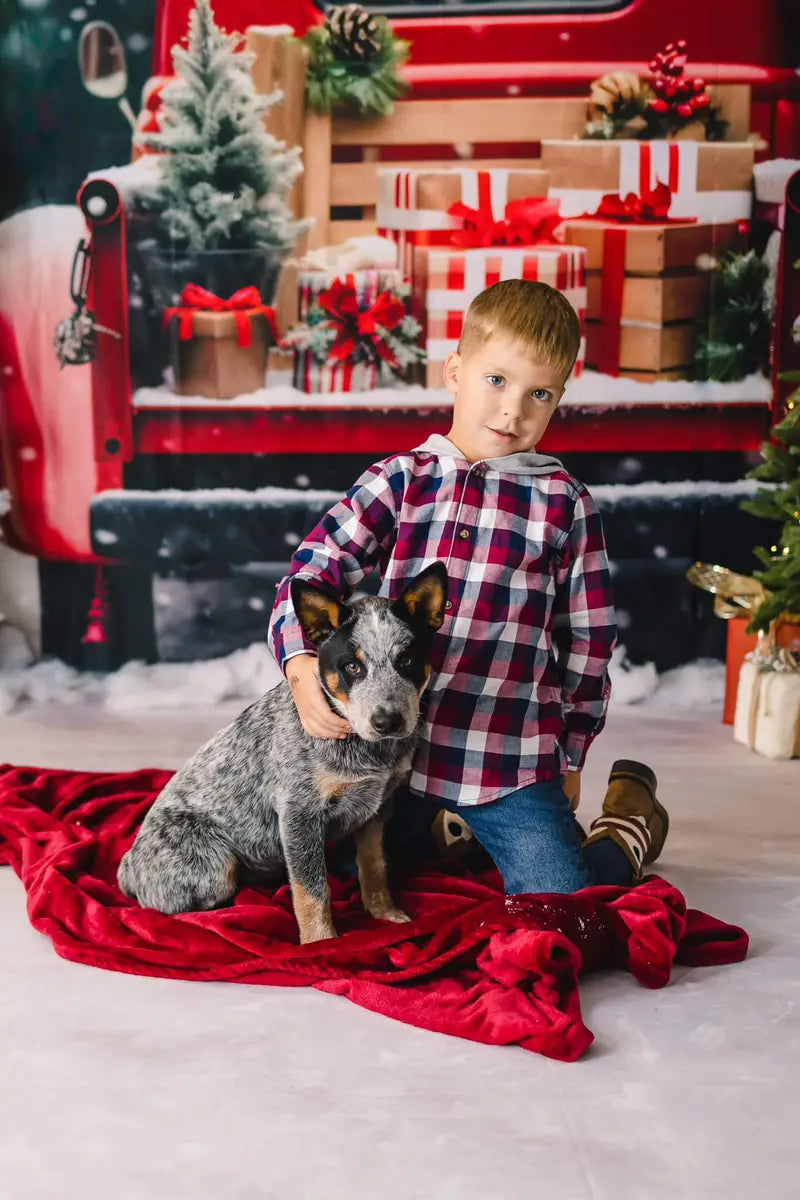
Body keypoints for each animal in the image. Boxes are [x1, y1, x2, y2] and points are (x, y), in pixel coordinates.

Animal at [116, 556, 448, 940]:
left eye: (406, 660)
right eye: (352, 666)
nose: (387, 720)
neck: (366, 750)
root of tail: (128, 866)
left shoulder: (379, 807)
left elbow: (375, 865)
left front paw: (384, 913)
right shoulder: (299, 813)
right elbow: (313, 890)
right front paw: (320, 942)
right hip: (213, 866)